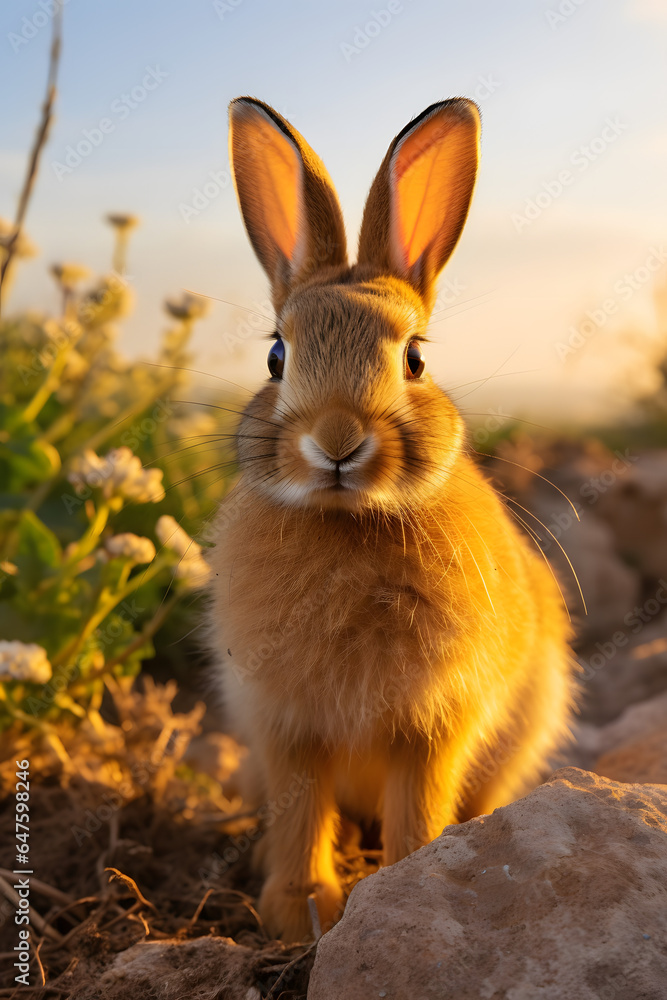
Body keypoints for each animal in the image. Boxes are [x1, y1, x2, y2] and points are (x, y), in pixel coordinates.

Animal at [208, 95, 576, 942]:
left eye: (414, 358)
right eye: (276, 356)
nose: (337, 441)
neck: (347, 522)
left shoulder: (433, 721)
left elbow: (419, 801)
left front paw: (404, 879)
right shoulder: (285, 725)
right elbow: (301, 808)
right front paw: (298, 909)